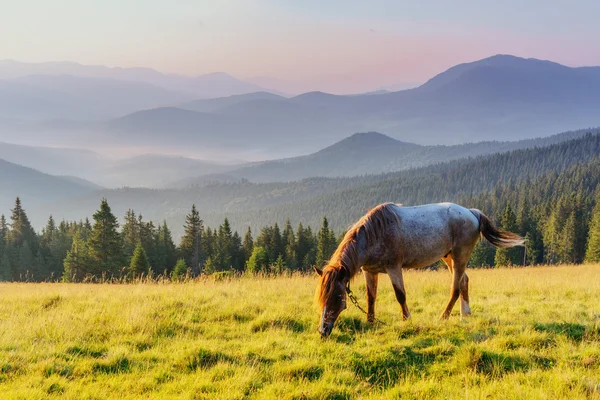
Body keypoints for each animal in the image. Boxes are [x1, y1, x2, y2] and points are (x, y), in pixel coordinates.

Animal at [316, 203, 524, 338]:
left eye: (337, 297)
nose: (323, 331)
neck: (374, 235)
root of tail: (472, 213)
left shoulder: (394, 268)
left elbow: (400, 295)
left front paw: (407, 320)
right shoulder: (370, 271)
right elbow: (371, 297)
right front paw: (370, 322)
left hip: (459, 257)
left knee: (455, 287)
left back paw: (444, 317)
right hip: (449, 258)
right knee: (464, 281)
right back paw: (465, 314)